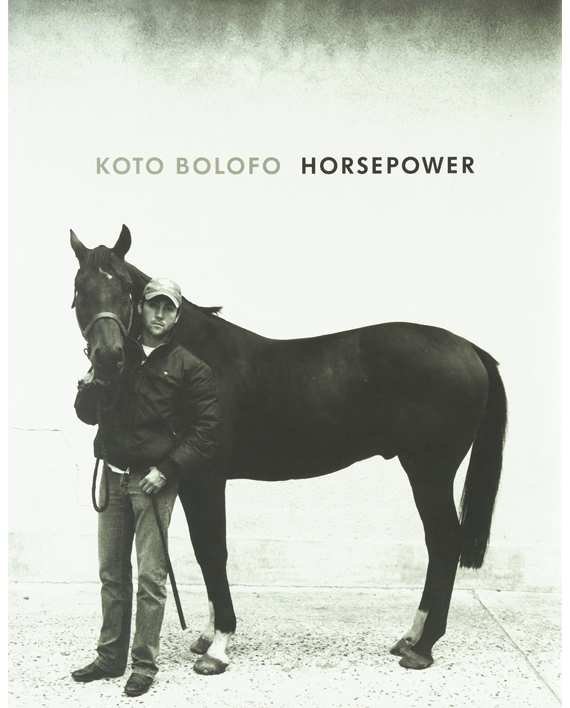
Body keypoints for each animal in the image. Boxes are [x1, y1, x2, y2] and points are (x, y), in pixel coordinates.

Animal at [70, 224, 507, 675]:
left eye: (124, 289)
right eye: (79, 289)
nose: (107, 359)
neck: (197, 355)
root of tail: (470, 349)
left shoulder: (206, 478)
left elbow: (213, 550)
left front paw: (219, 645)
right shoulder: (188, 480)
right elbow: (204, 550)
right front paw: (208, 635)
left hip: (429, 471)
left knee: (444, 542)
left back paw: (423, 645)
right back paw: (411, 637)